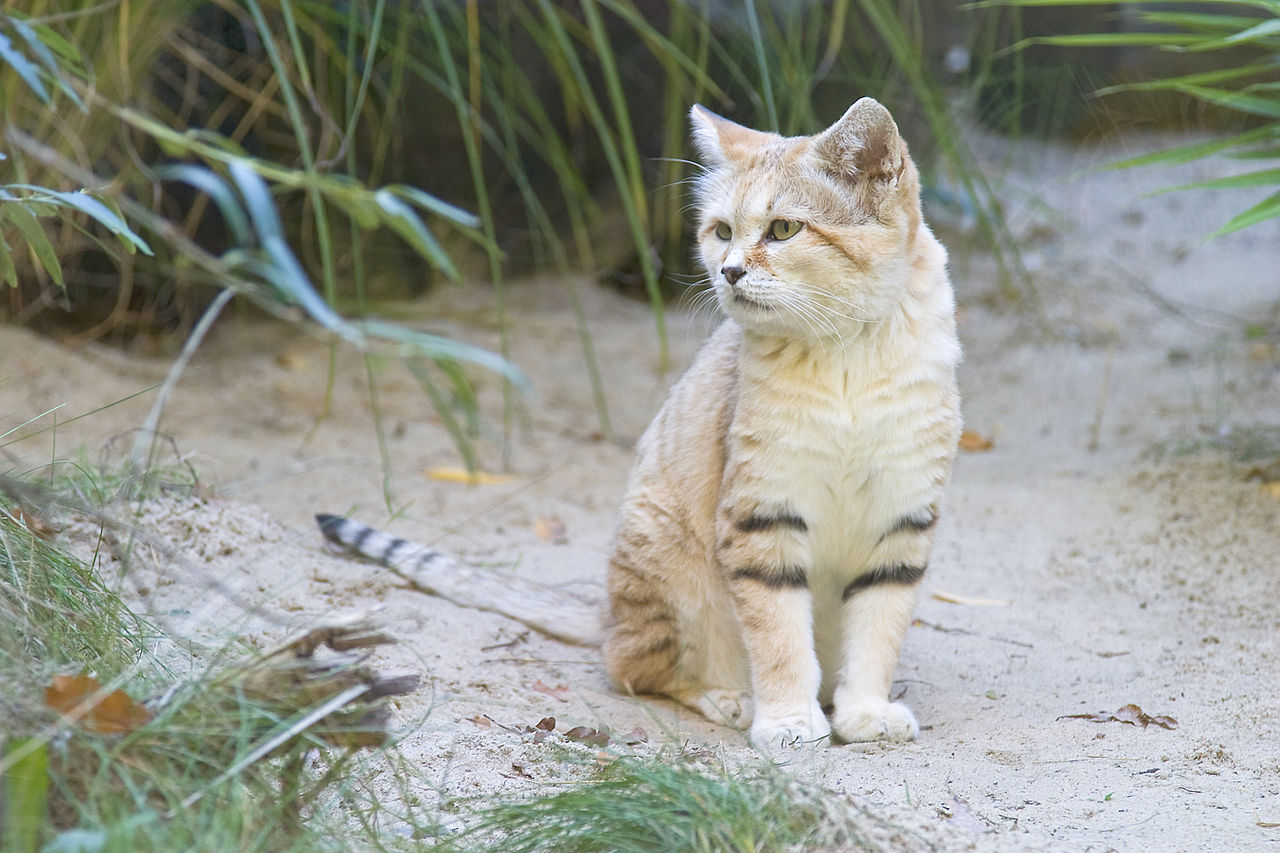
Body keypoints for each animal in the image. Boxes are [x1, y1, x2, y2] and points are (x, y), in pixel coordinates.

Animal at [317, 96, 962, 753]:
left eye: (784, 230)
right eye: (721, 232)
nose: (728, 271)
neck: (845, 354)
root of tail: (607, 613)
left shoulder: (902, 516)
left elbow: (878, 630)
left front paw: (865, 711)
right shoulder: (763, 514)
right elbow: (779, 635)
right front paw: (786, 719)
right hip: (664, 564)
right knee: (633, 667)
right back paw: (727, 697)